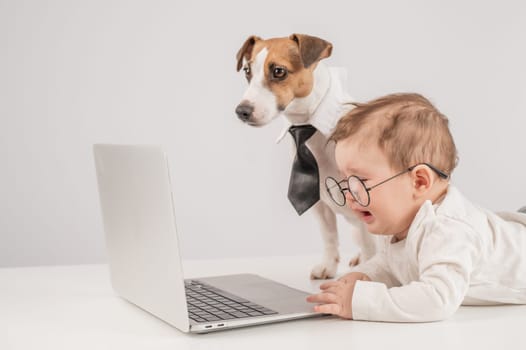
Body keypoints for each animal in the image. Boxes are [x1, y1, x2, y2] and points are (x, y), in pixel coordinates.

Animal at [236, 33, 384, 278]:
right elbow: (329, 236)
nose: (241, 111)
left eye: (278, 71)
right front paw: (329, 265)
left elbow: (371, 246)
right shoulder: (319, 204)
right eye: (247, 71)